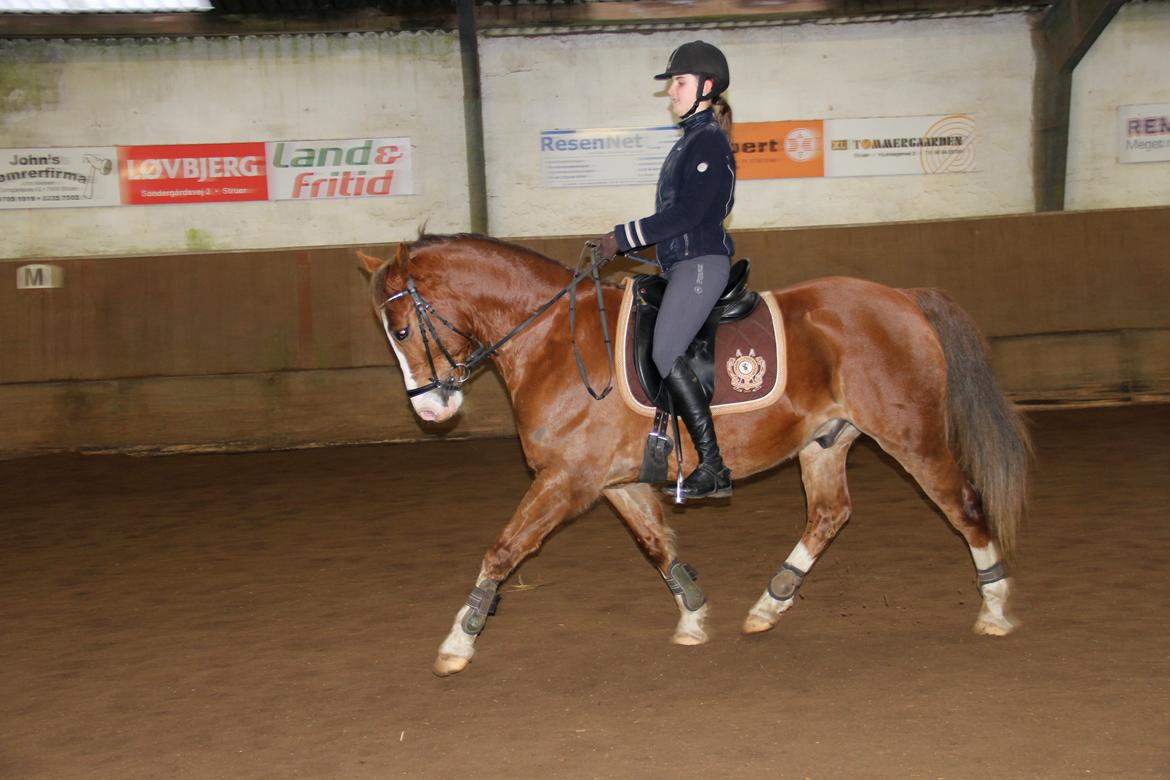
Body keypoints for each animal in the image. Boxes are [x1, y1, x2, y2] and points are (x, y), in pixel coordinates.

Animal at [353, 233, 1024, 678]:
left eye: (404, 330)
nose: (431, 411)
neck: (552, 342)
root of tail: (904, 299)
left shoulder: (566, 479)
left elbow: (504, 549)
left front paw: (457, 642)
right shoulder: (613, 483)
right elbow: (657, 547)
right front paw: (695, 617)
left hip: (912, 438)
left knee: (963, 504)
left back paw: (994, 609)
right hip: (825, 441)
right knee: (830, 515)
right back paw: (769, 604)